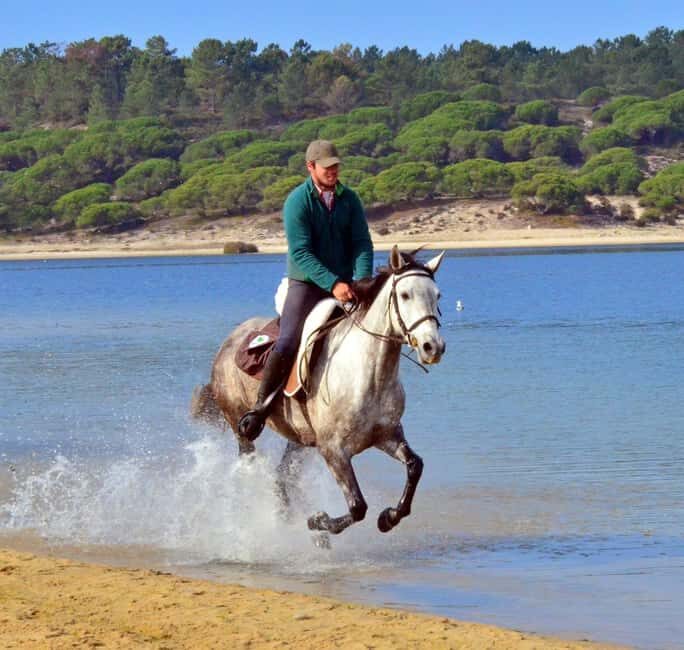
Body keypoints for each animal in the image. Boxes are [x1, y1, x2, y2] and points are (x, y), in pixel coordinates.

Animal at [191, 245, 446, 536]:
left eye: (437, 295)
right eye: (405, 295)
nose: (433, 347)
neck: (369, 374)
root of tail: (227, 343)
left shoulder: (387, 435)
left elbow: (415, 466)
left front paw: (389, 517)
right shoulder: (333, 450)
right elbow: (358, 507)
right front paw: (318, 520)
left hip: (299, 440)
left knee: (282, 477)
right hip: (240, 427)